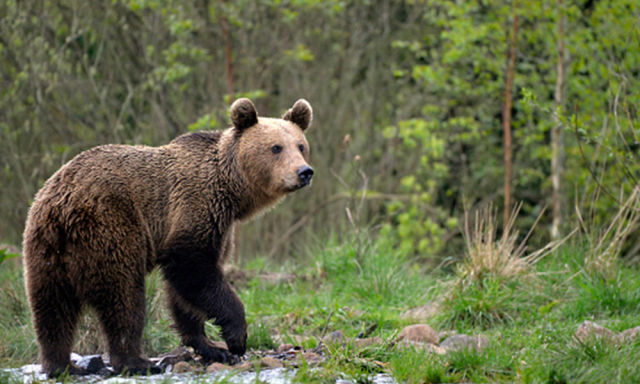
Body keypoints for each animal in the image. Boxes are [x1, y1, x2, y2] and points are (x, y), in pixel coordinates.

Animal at [23, 97, 314, 376]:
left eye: (300, 146)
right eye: (276, 148)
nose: (304, 172)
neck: (231, 190)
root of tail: (62, 204)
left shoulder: (220, 226)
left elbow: (184, 292)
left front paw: (210, 347)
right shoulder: (196, 208)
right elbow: (193, 269)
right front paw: (235, 338)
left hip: (45, 248)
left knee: (52, 309)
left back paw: (61, 365)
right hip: (110, 226)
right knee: (123, 296)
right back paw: (136, 361)